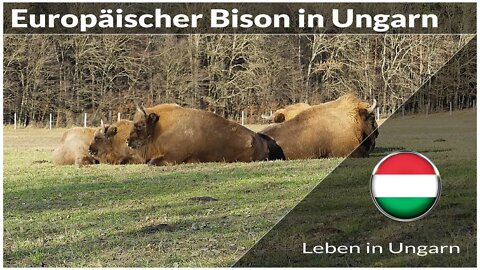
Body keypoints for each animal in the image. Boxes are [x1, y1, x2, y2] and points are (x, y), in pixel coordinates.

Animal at [126, 104, 284, 166]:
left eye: (139, 125)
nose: (128, 141)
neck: (159, 128)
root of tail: (260, 140)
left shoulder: (172, 157)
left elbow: (152, 162)